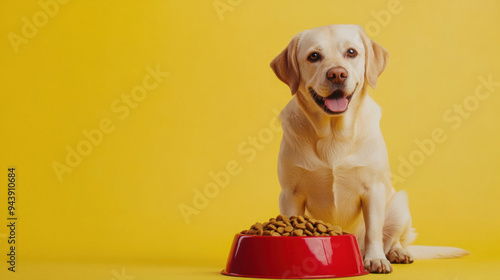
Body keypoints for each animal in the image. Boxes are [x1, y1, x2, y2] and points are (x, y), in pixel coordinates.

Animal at [270, 24, 468, 274]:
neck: (334, 133)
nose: (337, 74)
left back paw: (396, 253)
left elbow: (374, 231)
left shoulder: (373, 190)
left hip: (398, 204)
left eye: (351, 52)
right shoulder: (290, 194)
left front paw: (376, 259)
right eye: (314, 56)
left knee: (392, 239)